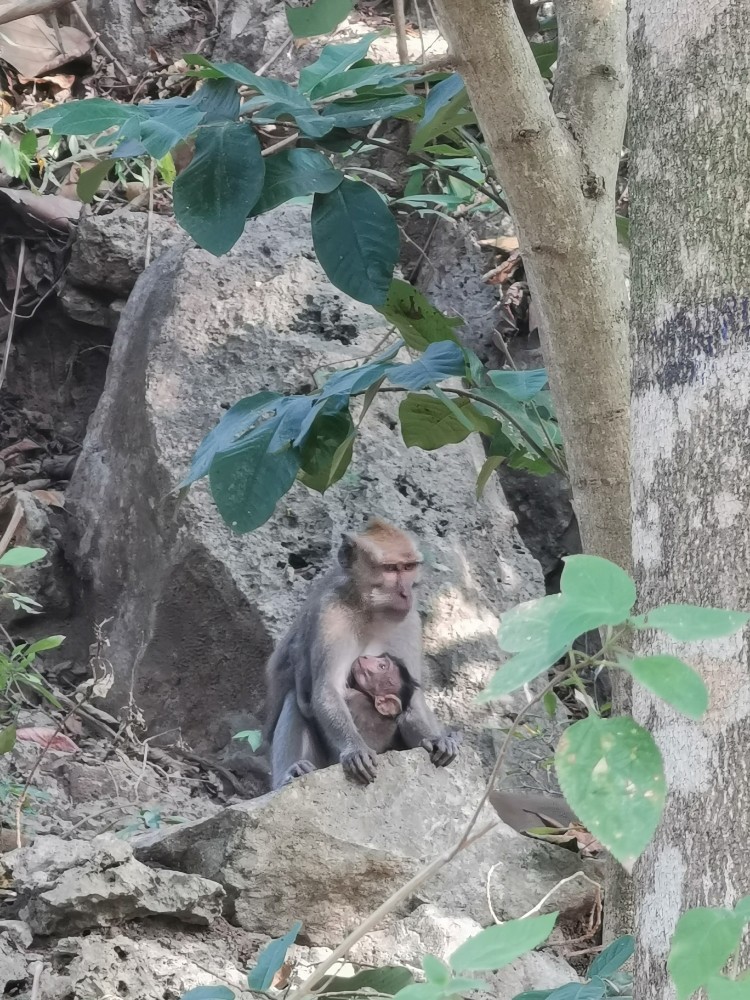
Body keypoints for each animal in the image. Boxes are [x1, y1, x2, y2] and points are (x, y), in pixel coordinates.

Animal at [263, 518, 462, 789]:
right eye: (390, 569)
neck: (370, 611)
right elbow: (326, 689)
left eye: (408, 567)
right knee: (295, 697)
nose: (406, 593)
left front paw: (436, 739)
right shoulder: (332, 616)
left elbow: (412, 700)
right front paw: (355, 748)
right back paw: (294, 771)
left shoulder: (409, 622)